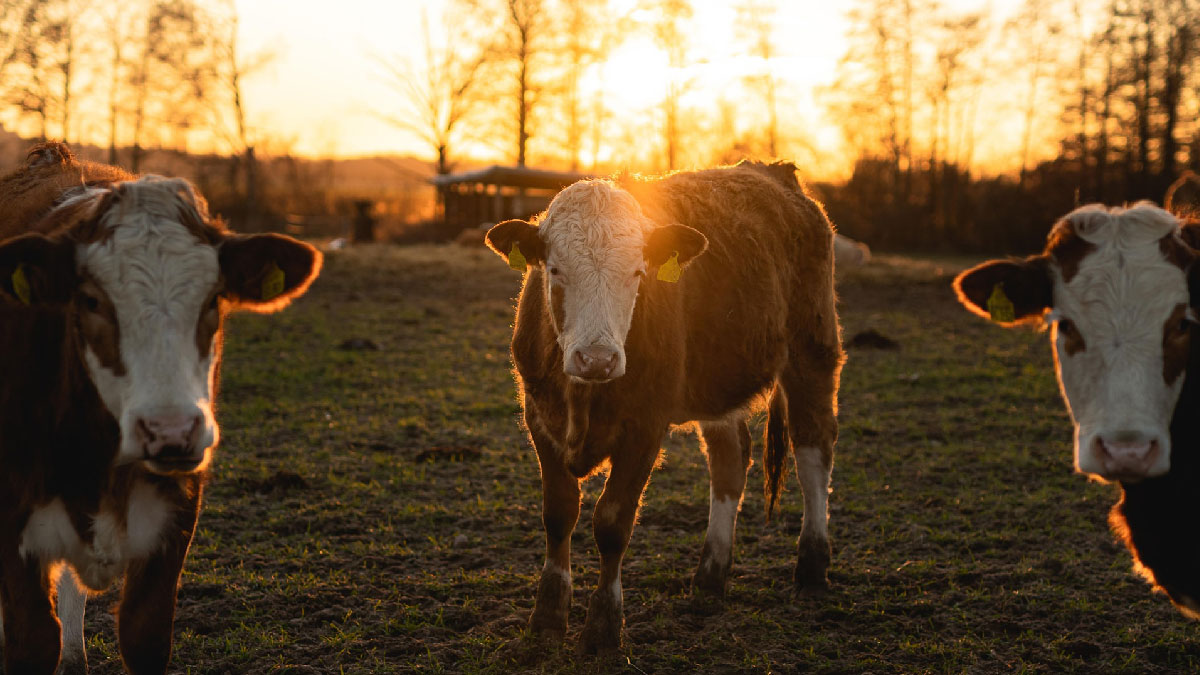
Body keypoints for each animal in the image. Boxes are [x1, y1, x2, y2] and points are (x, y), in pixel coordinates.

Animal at [0, 143, 322, 673]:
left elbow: (143, 635)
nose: (171, 431)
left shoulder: (173, 524)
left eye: (213, 300)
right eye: (91, 300)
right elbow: (32, 640)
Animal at [484, 161, 843, 652]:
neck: (583, 394)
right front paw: (548, 618)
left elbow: (612, 522)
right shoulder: (540, 418)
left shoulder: (645, 426)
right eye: (554, 271)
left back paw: (811, 568)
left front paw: (603, 627)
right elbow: (558, 514)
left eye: (639, 273)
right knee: (730, 461)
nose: (597, 358)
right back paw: (710, 577)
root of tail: (775, 174)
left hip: (813, 349)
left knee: (813, 454)